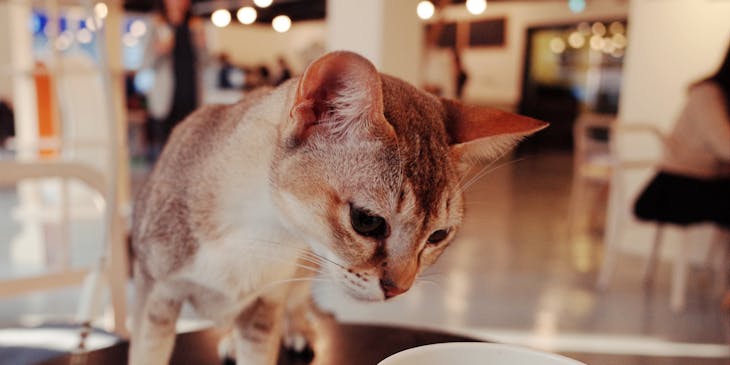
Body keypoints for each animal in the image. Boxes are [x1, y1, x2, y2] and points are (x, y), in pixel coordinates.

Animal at [128, 49, 544, 362]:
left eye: (438, 236)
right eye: (367, 221)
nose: (400, 289)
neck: (255, 230)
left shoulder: (265, 307)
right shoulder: (154, 298)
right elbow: (147, 352)